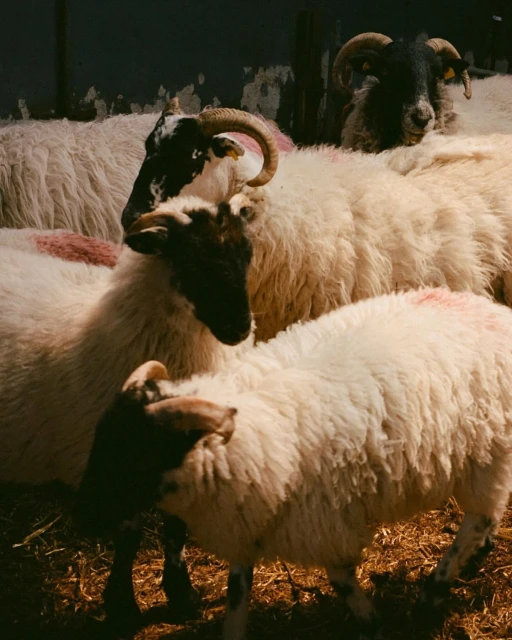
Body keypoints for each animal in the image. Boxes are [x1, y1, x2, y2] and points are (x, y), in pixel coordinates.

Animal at [0, 193, 256, 629]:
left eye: (246, 254)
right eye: (192, 260)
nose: (240, 327)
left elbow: (176, 527)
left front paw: (181, 594)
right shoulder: (113, 454)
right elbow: (129, 534)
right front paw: (121, 606)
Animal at [76, 287, 512, 640]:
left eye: (137, 453)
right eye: (102, 439)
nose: (86, 515)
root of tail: (489, 309)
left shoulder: (325, 519)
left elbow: (339, 577)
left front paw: (370, 621)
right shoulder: (248, 521)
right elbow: (236, 594)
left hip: (487, 454)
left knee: (479, 520)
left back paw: (434, 591)